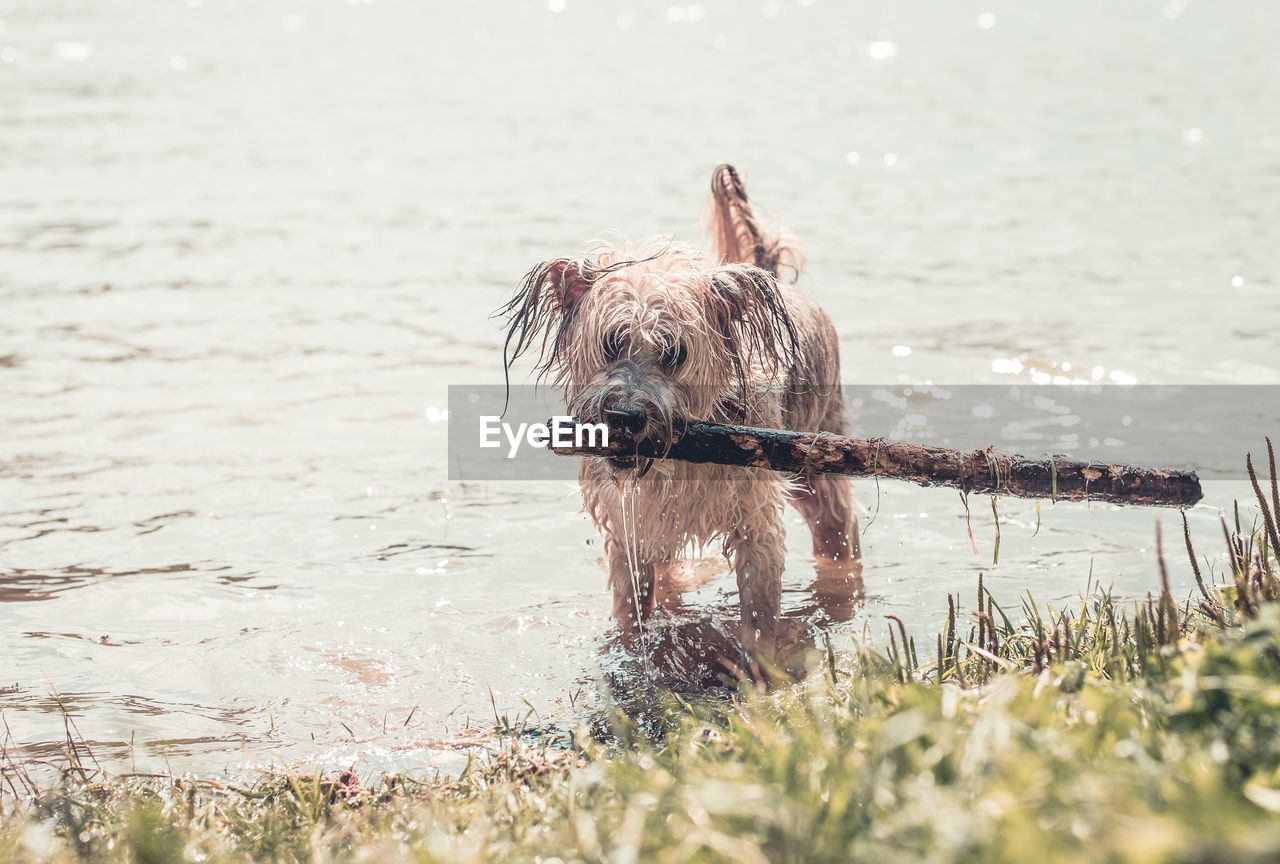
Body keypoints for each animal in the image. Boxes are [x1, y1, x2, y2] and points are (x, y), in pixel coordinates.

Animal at [499, 163, 860, 655]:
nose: (624, 415)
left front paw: (758, 664)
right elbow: (631, 603)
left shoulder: (757, 520)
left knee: (839, 529)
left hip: (819, 463)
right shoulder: (631, 524)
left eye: (675, 352)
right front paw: (628, 645)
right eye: (611, 344)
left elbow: (759, 610)